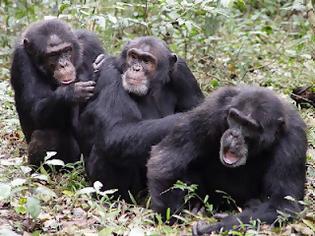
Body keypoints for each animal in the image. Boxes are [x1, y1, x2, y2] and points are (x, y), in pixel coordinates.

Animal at [10, 19, 106, 167]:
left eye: (66, 50)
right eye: (52, 55)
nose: (63, 65)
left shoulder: (92, 43)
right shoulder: (21, 60)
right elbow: (34, 111)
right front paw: (72, 93)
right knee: (45, 136)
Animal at [79, 36, 205, 200]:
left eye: (146, 60)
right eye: (133, 57)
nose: (136, 68)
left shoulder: (183, 73)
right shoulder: (109, 73)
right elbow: (116, 129)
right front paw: (190, 118)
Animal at [148, 86, 308, 234]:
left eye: (249, 126)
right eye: (235, 118)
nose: (235, 134)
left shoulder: (294, 141)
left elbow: (283, 204)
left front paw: (214, 226)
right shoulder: (210, 111)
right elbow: (167, 158)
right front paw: (170, 217)